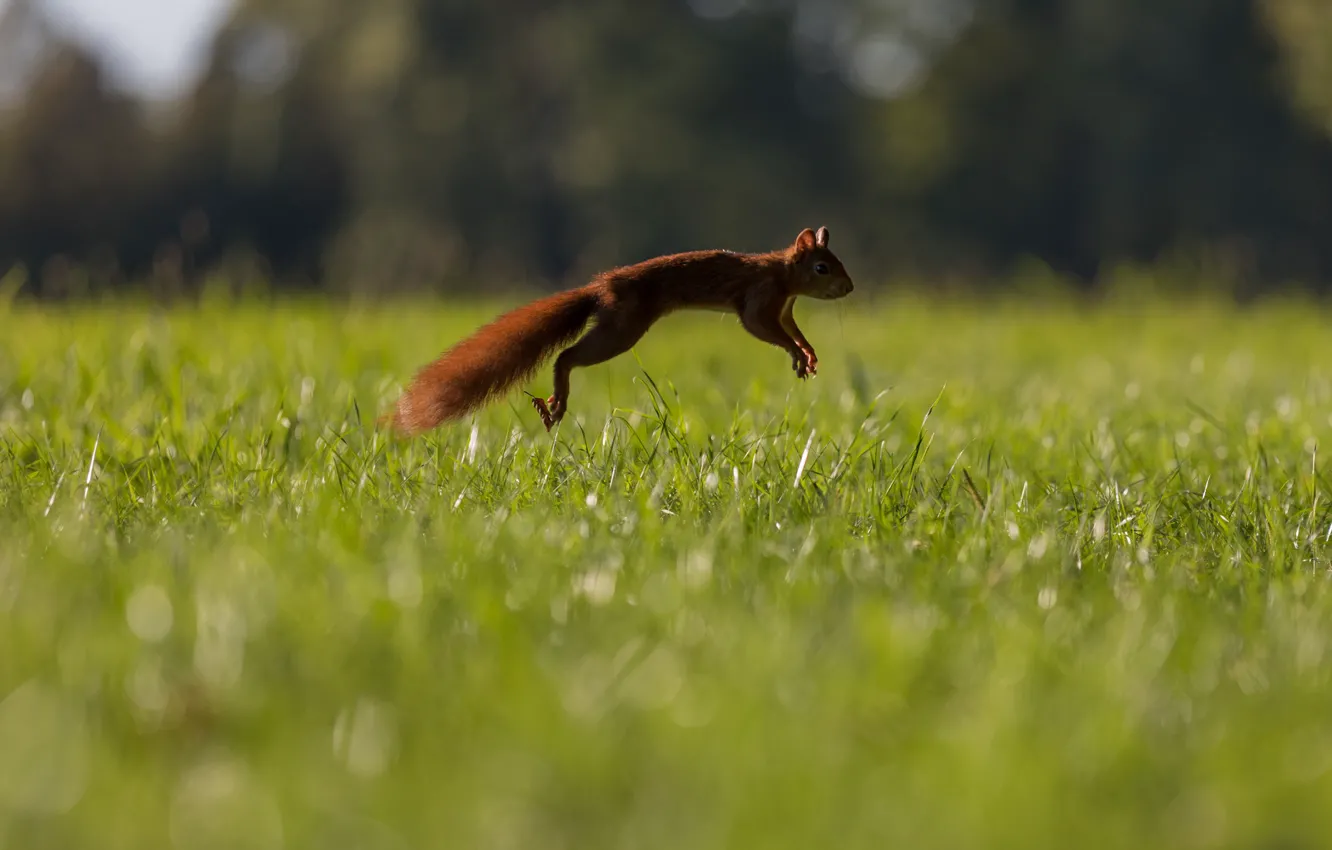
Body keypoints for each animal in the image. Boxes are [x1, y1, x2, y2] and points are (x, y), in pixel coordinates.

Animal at [380, 226, 852, 436]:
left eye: (837, 261)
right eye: (822, 267)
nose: (849, 287)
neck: (782, 272)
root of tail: (600, 288)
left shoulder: (785, 308)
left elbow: (791, 331)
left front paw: (807, 354)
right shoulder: (760, 298)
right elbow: (759, 327)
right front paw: (796, 355)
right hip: (623, 328)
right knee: (567, 357)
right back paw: (556, 402)